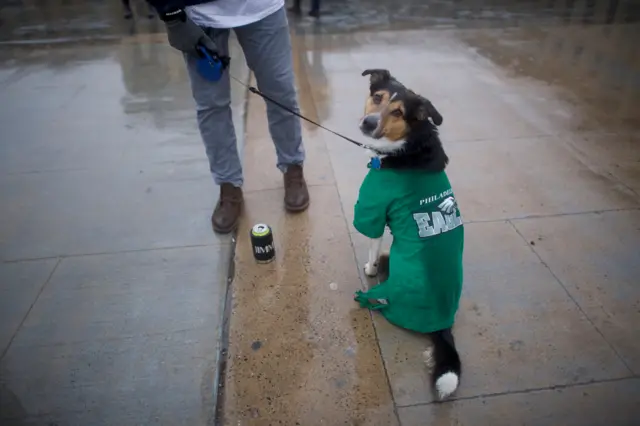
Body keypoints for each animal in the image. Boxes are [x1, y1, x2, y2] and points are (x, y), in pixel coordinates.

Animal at [352, 68, 462, 402]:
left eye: (399, 112)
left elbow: (373, 246)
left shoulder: (374, 210)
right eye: (377, 97)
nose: (368, 123)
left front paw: (369, 268)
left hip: (393, 262)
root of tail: (443, 323)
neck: (409, 143)